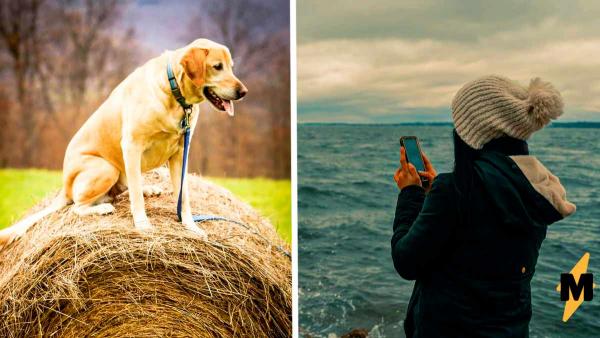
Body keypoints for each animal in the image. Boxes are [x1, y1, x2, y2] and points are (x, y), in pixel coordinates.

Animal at [0, 38, 246, 247]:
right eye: (217, 66)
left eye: (231, 66)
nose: (243, 92)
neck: (174, 92)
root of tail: (64, 188)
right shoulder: (132, 146)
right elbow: (136, 197)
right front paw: (143, 225)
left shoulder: (180, 153)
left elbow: (182, 196)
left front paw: (191, 226)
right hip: (105, 167)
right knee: (78, 207)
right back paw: (102, 209)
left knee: (123, 188)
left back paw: (148, 190)